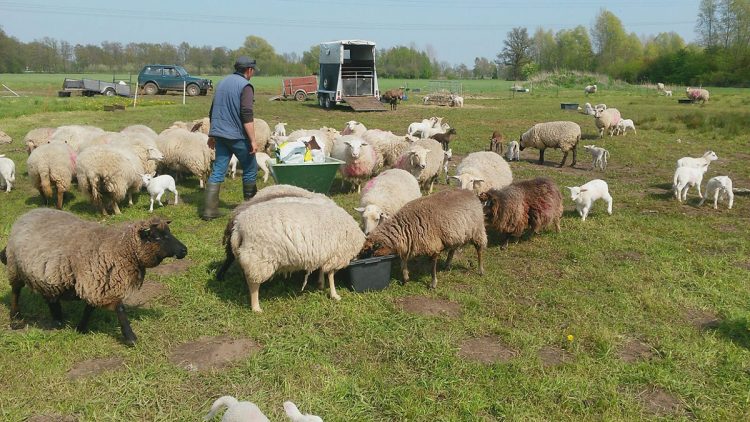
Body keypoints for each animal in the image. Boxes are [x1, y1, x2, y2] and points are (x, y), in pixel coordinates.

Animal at [1, 209, 188, 346]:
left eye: (169, 233)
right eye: (157, 237)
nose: (184, 250)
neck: (119, 248)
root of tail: (25, 215)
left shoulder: (96, 284)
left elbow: (89, 308)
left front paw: (81, 328)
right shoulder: (98, 282)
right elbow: (120, 309)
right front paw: (130, 338)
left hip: (47, 273)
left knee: (50, 295)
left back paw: (58, 319)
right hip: (15, 267)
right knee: (16, 291)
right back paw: (15, 318)